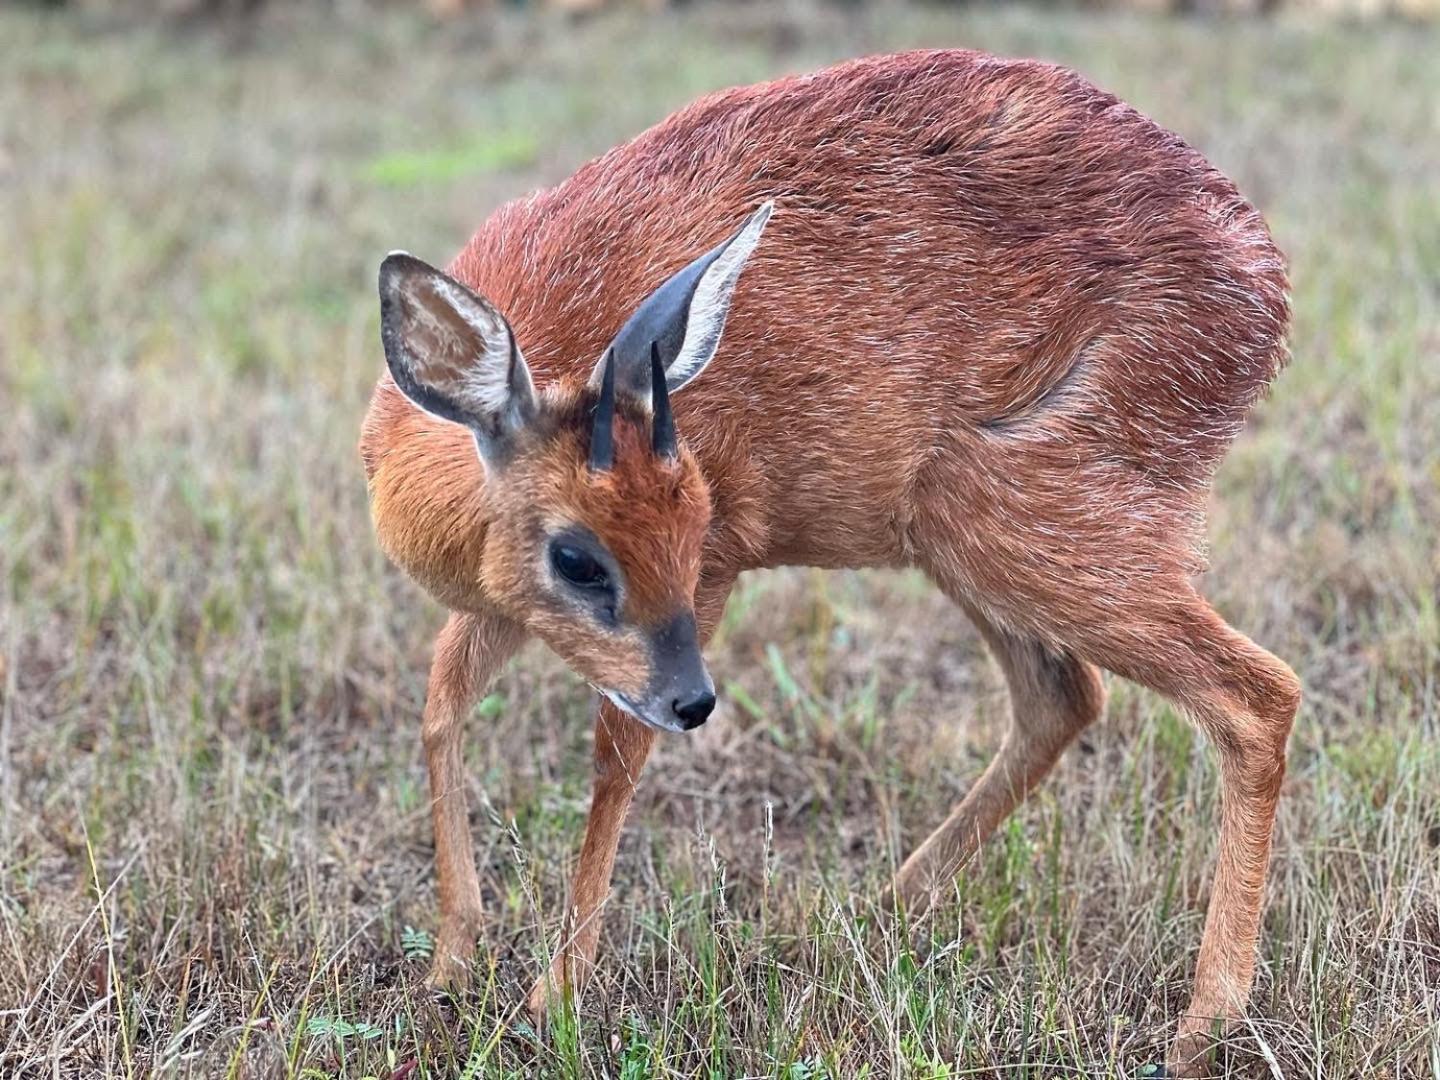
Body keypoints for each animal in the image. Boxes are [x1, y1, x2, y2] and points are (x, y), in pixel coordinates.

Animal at [357, 48, 1296, 1077]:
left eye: (694, 515)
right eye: (577, 557)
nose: (697, 702)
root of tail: (1266, 290)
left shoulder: (712, 573)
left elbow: (612, 757)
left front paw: (551, 997)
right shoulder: (506, 606)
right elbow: (441, 708)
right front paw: (451, 963)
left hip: (1039, 521)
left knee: (1256, 695)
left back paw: (1204, 1023)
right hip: (964, 539)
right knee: (1065, 696)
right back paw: (881, 907)